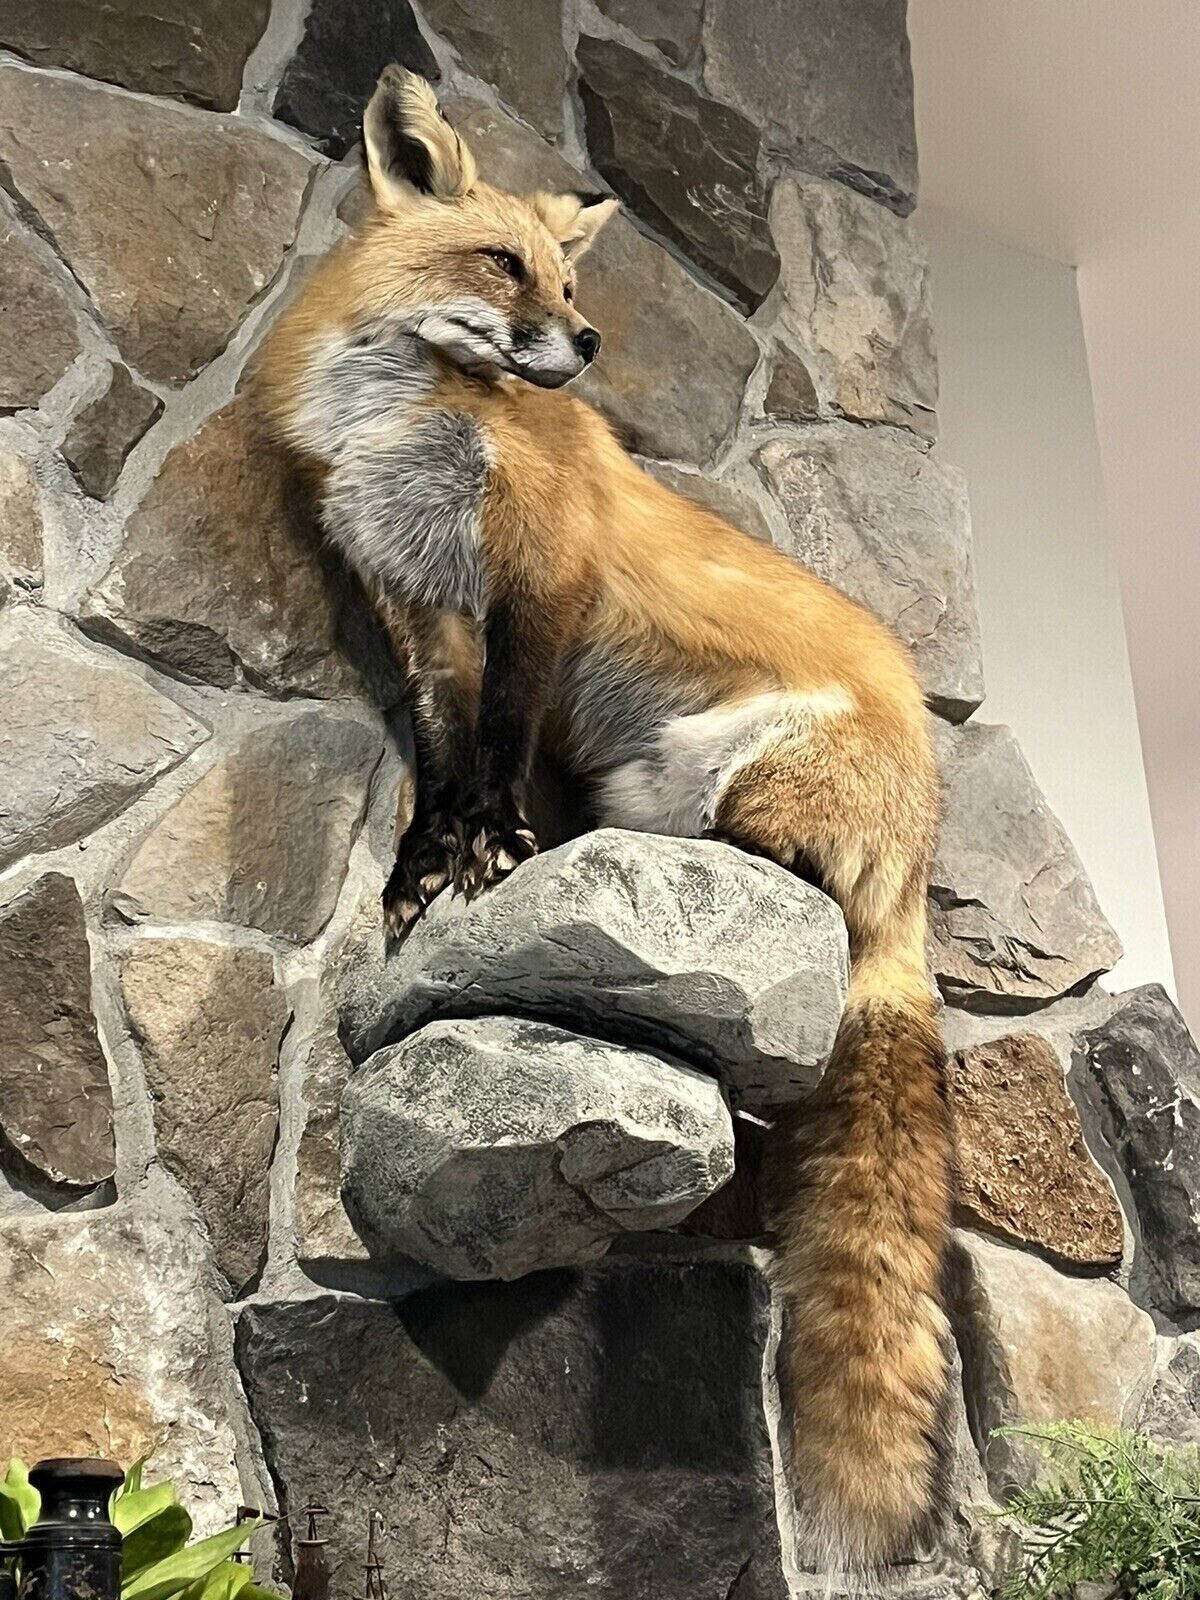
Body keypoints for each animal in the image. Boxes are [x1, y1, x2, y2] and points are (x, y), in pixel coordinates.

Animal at [256, 64, 955, 1577]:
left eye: (570, 277)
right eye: (501, 262)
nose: (582, 339)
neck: (408, 425)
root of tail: (921, 869)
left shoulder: (542, 574)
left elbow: (502, 746)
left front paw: (495, 850)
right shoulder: (419, 605)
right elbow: (440, 757)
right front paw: (425, 871)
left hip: (748, 782)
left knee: (785, 887)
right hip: (656, 778)